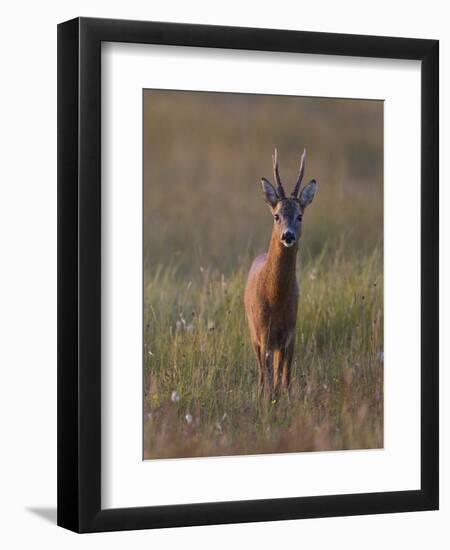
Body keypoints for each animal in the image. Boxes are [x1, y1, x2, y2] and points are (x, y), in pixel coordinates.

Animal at [246, 150, 316, 402]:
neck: (275, 297)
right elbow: (269, 377)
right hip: (253, 333)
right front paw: (268, 401)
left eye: (300, 216)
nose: (288, 236)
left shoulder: (290, 333)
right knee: (261, 372)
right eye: (276, 216)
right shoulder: (263, 332)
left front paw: (285, 400)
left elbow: (284, 377)